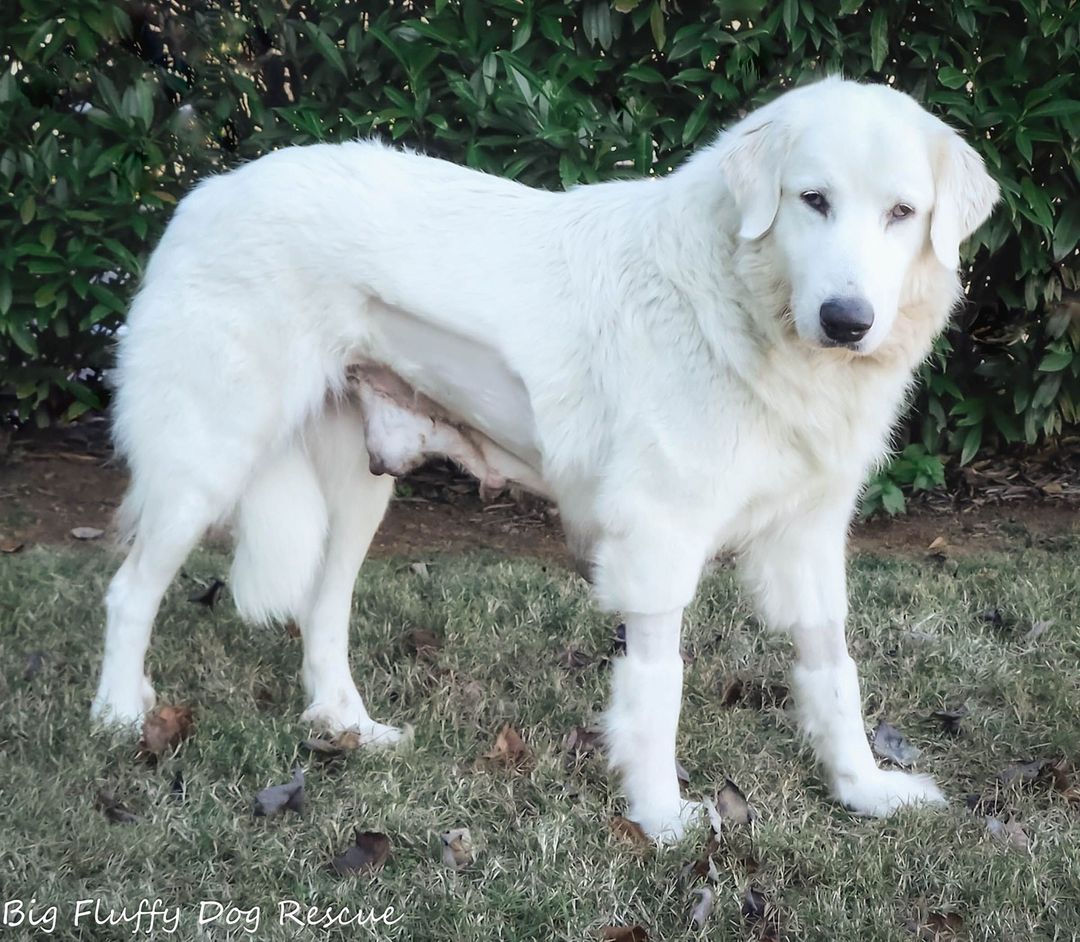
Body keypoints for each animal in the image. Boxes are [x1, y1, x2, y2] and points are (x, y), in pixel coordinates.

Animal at [90, 75, 993, 838]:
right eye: (813, 201)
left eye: (901, 213)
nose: (847, 320)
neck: (748, 307)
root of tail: (208, 190)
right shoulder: (657, 539)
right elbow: (657, 689)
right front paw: (661, 821)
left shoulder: (807, 537)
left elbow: (833, 670)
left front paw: (863, 789)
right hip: (207, 459)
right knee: (131, 590)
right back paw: (120, 716)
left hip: (357, 487)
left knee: (323, 610)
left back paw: (348, 726)